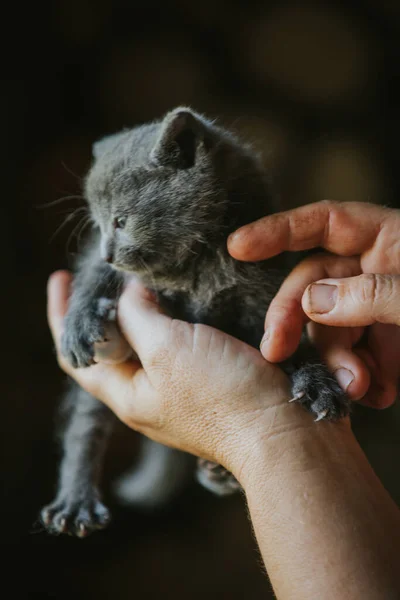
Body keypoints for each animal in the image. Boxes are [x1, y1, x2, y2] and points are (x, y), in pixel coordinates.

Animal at [39, 108, 346, 540]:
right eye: (97, 225)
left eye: (120, 221)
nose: (108, 252)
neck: (195, 263)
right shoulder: (109, 268)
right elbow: (91, 275)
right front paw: (79, 321)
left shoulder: (264, 285)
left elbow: (287, 339)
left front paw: (316, 382)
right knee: (85, 427)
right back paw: (75, 502)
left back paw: (218, 473)